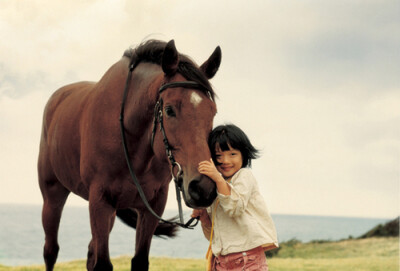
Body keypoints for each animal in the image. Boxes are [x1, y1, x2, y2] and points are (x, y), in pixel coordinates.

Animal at [38, 40, 220, 271]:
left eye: (212, 111)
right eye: (169, 110)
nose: (203, 187)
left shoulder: (153, 205)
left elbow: (138, 260)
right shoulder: (99, 201)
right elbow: (102, 264)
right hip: (53, 195)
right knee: (50, 250)